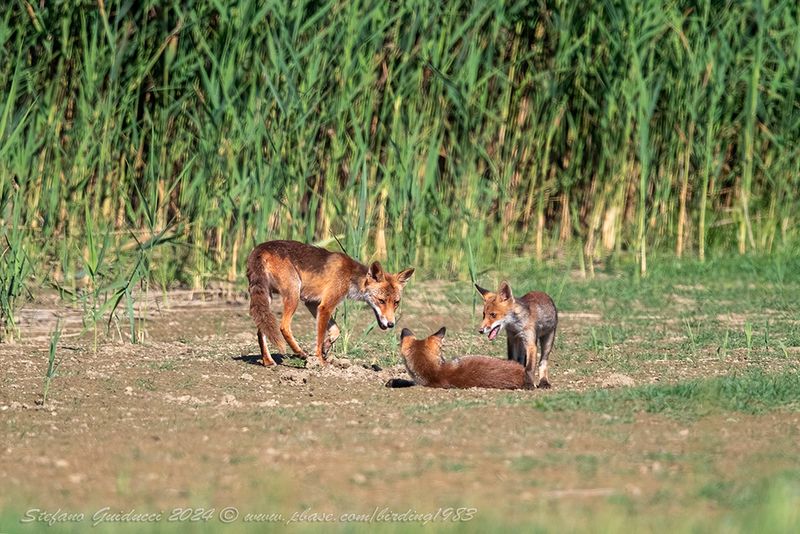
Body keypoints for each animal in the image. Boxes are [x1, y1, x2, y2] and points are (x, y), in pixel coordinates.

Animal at [246, 240, 414, 367]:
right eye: (381, 301)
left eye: (396, 303)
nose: (391, 324)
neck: (350, 276)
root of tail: (261, 248)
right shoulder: (325, 306)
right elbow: (320, 337)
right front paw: (320, 360)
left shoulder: (313, 303)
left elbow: (336, 331)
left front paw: (327, 347)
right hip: (293, 295)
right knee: (283, 327)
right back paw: (300, 353)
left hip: (267, 297)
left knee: (261, 329)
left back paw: (267, 361)